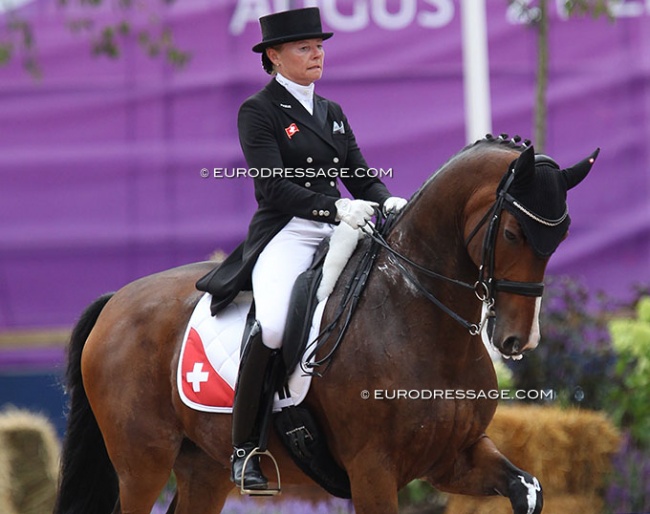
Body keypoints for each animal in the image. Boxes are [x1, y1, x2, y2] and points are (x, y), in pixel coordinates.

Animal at [53, 136, 596, 512]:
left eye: (562, 235)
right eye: (512, 232)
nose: (517, 339)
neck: (416, 319)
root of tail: (117, 300)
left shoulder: (454, 457)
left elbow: (528, 488)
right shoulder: (372, 472)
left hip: (202, 465)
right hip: (142, 462)